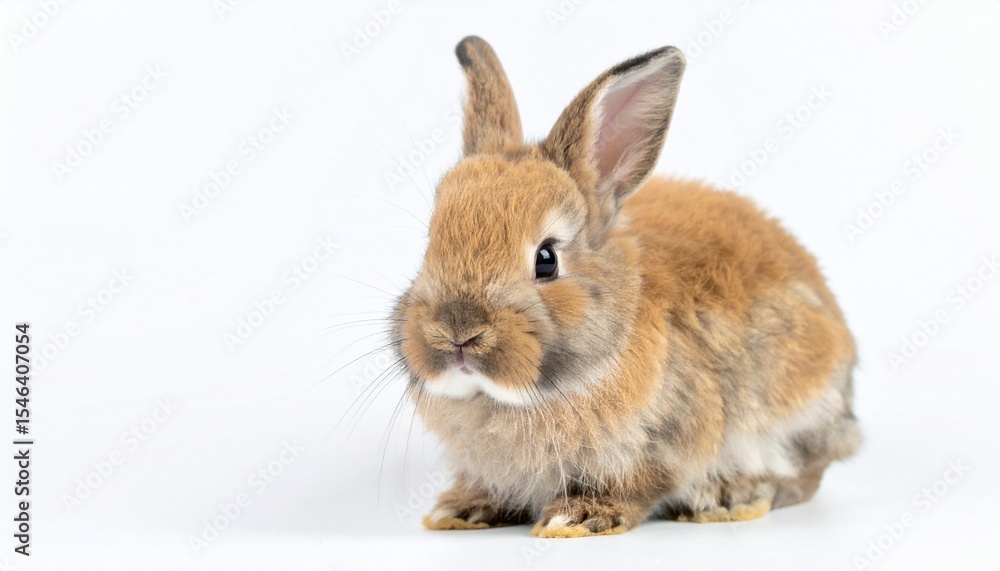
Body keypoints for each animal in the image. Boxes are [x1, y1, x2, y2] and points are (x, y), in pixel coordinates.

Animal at [390, 36, 860, 538]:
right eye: (430, 244)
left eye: (546, 259)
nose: (456, 331)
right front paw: (460, 509)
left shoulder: (666, 442)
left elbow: (637, 485)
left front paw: (576, 518)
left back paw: (730, 496)